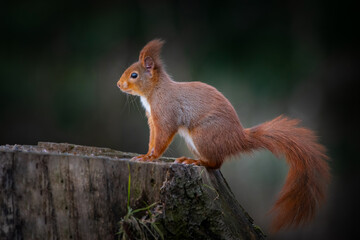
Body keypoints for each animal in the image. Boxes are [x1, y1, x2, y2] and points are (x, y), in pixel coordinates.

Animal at [117, 39, 330, 232]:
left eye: (134, 75)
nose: (118, 84)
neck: (155, 90)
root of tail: (237, 140)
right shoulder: (152, 121)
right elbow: (153, 138)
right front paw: (147, 154)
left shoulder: (166, 114)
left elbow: (162, 137)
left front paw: (151, 157)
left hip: (203, 136)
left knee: (215, 163)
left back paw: (195, 162)